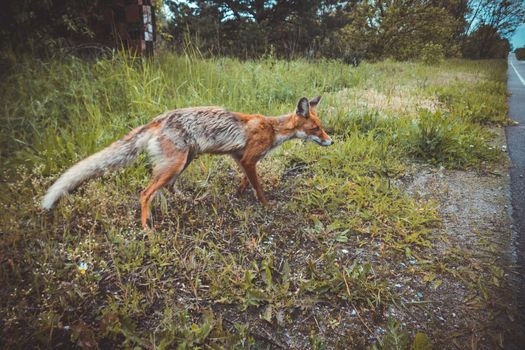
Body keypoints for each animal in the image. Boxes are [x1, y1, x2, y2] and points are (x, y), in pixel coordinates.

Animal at [43, 95, 334, 230]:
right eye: (317, 129)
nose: (331, 141)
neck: (273, 129)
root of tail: (159, 118)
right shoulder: (250, 159)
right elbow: (258, 187)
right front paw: (266, 204)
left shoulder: (241, 159)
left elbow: (244, 180)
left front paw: (238, 193)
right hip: (177, 163)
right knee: (146, 192)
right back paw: (146, 228)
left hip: (182, 162)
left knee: (167, 188)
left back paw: (186, 201)